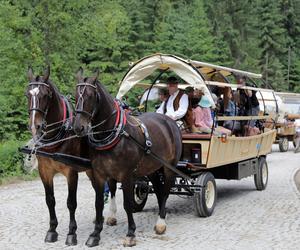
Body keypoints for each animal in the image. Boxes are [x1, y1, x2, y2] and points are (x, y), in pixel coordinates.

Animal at [25, 66, 98, 246]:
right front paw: (52, 230)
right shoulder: (44, 171)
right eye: (27, 95)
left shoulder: (71, 172)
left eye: (45, 95)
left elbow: (71, 203)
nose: (34, 126)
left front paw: (71, 233)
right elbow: (50, 200)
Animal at [73, 69, 182, 248]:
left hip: (169, 167)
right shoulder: (100, 174)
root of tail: (169, 121)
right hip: (152, 167)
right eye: (76, 95)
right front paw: (95, 234)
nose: (78, 127)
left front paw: (131, 233)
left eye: (90, 95)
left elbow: (128, 204)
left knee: (166, 190)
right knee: (158, 189)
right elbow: (98, 204)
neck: (116, 133)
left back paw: (161, 223)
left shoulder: (126, 175)